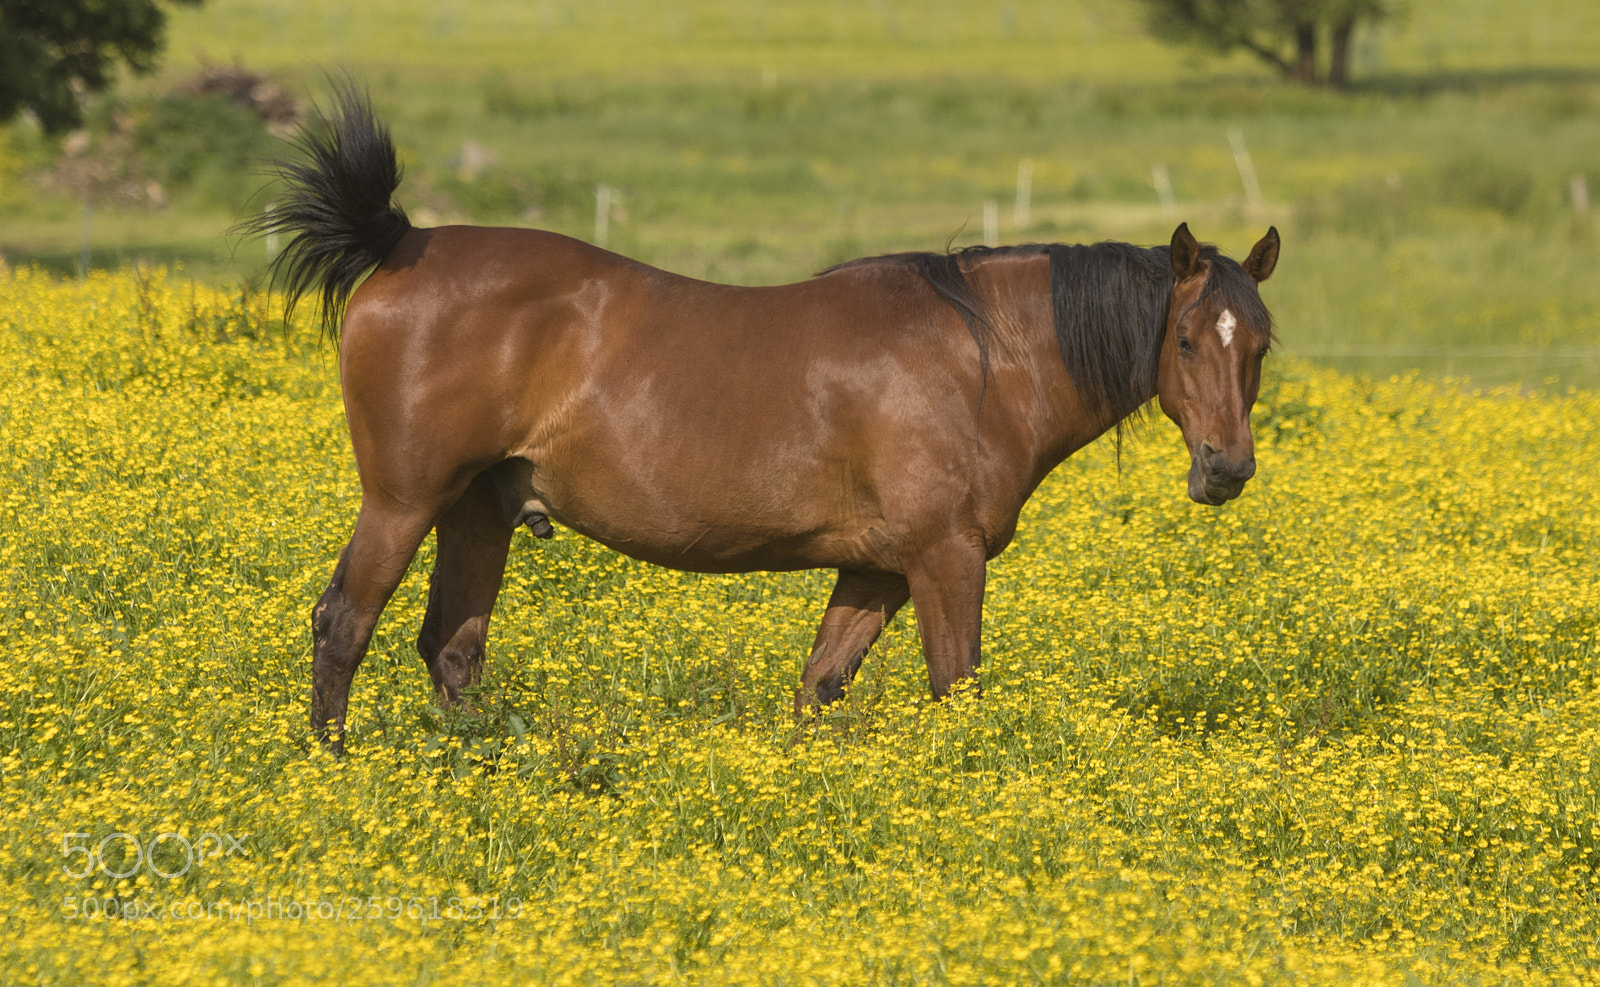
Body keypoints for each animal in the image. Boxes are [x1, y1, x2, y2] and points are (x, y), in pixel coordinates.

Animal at [248, 87, 1279, 750]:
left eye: (1261, 343)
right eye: (1188, 339)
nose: (1225, 469)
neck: (981, 357)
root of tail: (402, 242)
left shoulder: (875, 568)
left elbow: (818, 689)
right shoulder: (945, 559)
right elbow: (956, 689)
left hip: (477, 512)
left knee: (451, 651)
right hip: (403, 502)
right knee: (344, 624)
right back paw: (328, 763)